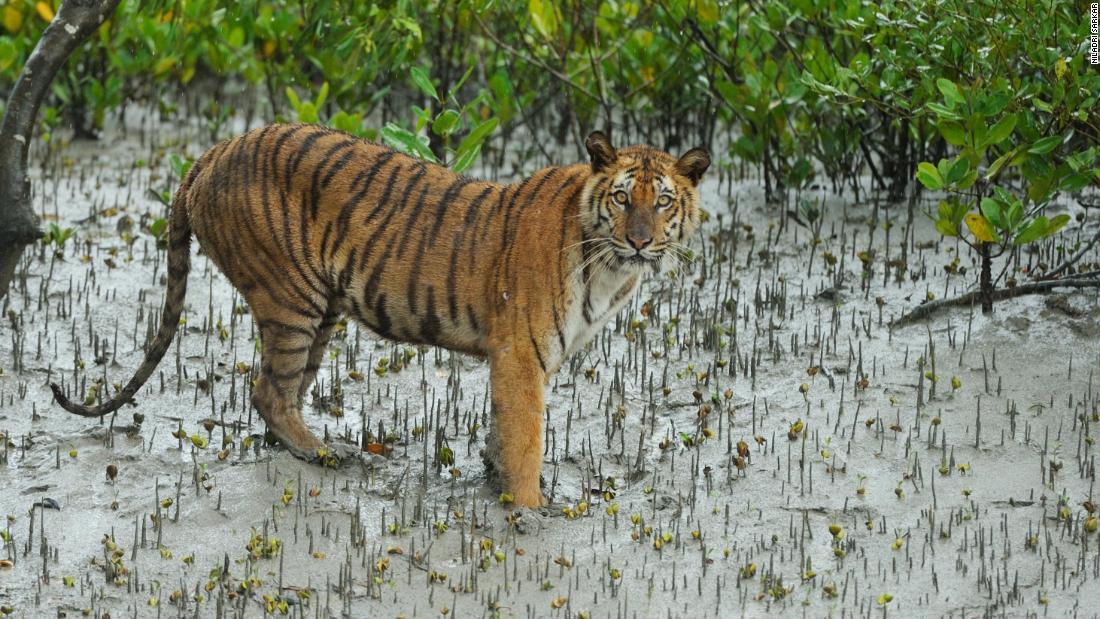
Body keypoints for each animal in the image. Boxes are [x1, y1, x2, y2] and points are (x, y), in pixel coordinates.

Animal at [51, 122, 708, 507]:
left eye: (662, 201)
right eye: (621, 197)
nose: (642, 242)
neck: (609, 265)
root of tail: (212, 150)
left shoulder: (521, 360)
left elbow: (502, 433)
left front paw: (495, 479)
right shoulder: (521, 355)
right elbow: (526, 440)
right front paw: (528, 513)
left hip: (320, 312)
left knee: (279, 394)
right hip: (293, 300)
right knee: (268, 391)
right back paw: (324, 454)